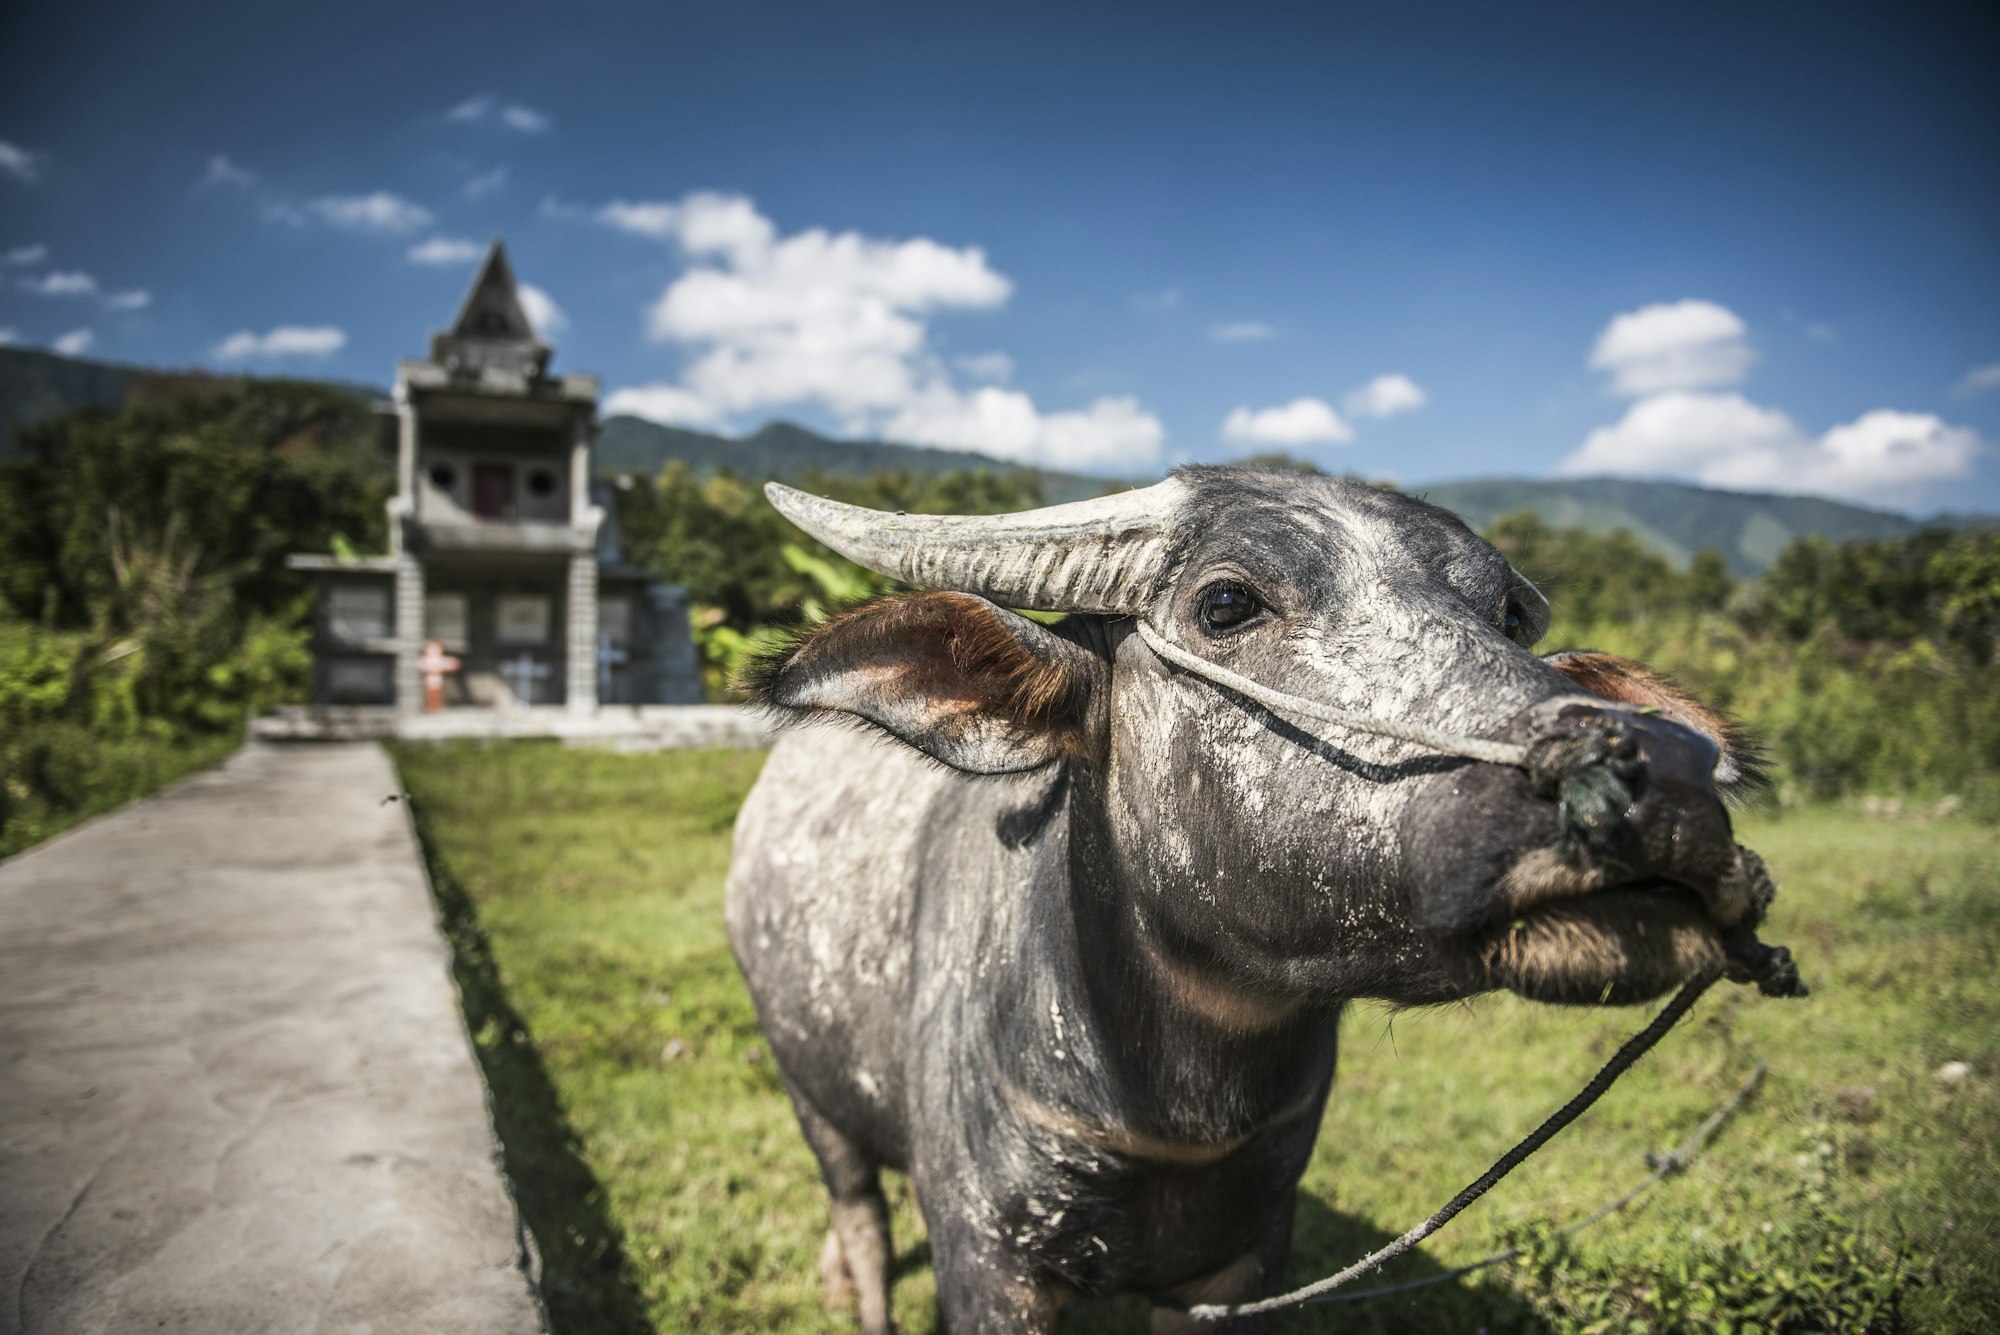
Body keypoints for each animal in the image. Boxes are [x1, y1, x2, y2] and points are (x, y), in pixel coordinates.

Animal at [727, 466, 1771, 1332]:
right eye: (1227, 603)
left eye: (1509, 617)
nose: (1665, 777)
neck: (1171, 1111)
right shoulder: (988, 1264)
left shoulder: (1241, 1267)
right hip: (808, 1091)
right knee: (859, 1215)